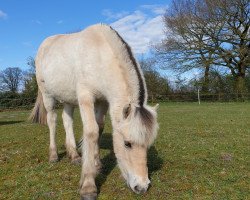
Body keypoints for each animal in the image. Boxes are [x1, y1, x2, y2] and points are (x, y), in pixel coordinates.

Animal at [29, 23, 158, 200]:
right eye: (127, 143)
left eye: (148, 145)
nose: (142, 187)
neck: (99, 54)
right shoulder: (86, 96)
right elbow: (91, 131)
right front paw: (89, 186)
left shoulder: (103, 100)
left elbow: (100, 127)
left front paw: (97, 164)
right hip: (48, 96)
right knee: (52, 121)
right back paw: (54, 155)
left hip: (68, 98)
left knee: (67, 120)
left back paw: (74, 155)